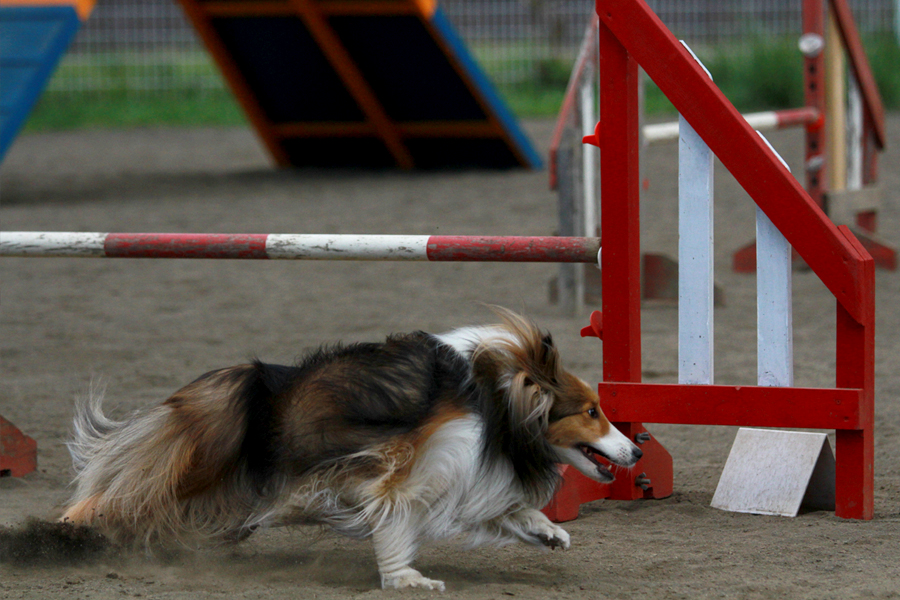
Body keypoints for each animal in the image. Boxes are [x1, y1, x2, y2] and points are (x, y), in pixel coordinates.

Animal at [61, 308, 642, 590]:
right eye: (592, 410)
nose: (636, 453)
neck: (495, 398)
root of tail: (254, 380)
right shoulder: (406, 467)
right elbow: (396, 516)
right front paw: (403, 578)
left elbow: (503, 508)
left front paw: (547, 532)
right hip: (206, 459)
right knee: (129, 486)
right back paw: (74, 521)